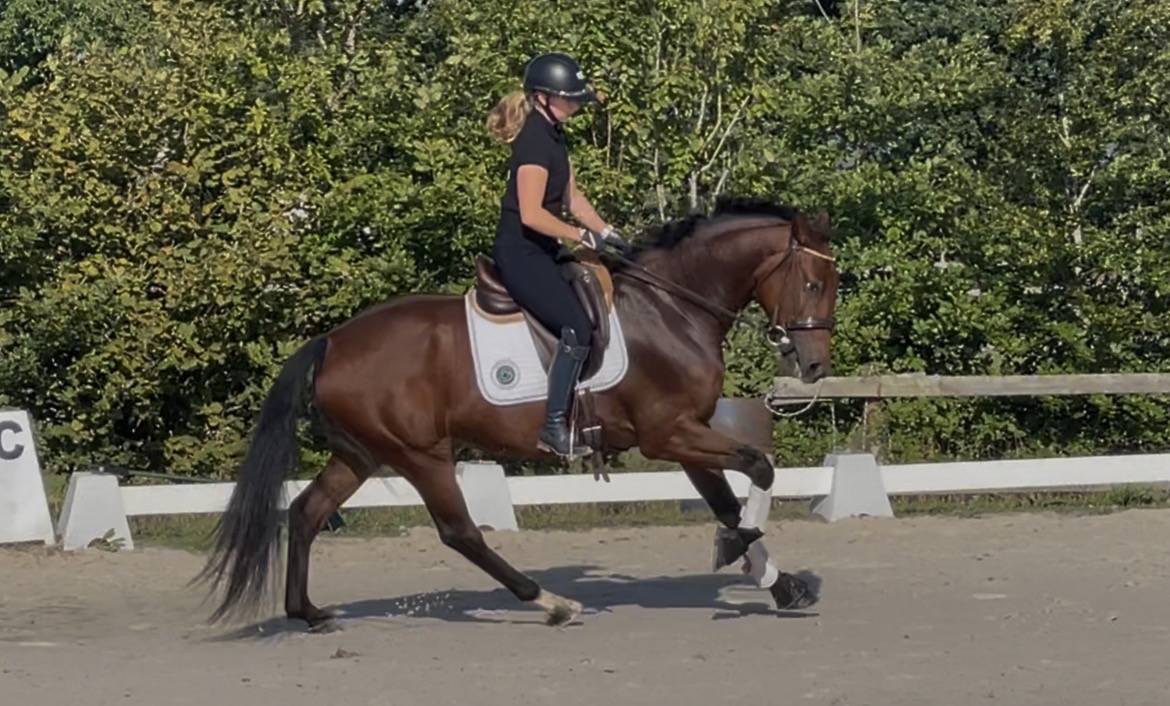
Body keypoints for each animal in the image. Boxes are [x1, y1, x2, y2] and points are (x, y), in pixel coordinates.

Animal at [198, 196, 839, 629]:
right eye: (813, 282)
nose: (814, 366)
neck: (670, 307)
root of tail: (331, 341)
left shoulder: (686, 434)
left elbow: (727, 498)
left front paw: (781, 585)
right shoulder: (668, 434)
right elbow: (758, 468)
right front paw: (742, 548)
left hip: (360, 454)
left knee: (306, 512)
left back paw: (308, 612)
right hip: (420, 453)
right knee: (460, 533)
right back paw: (551, 603)